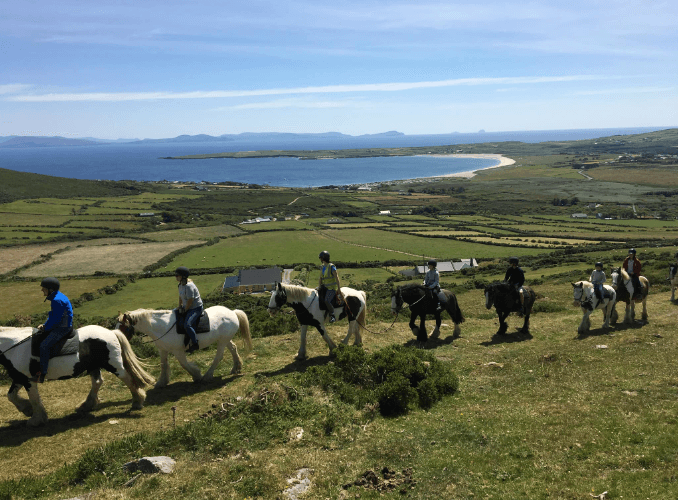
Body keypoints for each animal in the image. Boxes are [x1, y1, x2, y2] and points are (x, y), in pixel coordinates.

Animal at [0, 326, 155, 428]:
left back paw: (138, 401)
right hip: (94, 367)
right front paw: (27, 409)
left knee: (127, 378)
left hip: (113, 365)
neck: (14, 347)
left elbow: (34, 399)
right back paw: (86, 405)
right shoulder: (19, 378)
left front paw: (36, 419)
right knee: (97, 382)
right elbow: (11, 396)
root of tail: (111, 332)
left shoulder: (29, 380)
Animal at [118, 304, 254, 386]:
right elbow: (163, 365)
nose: (118, 337)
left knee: (218, 357)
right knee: (233, 348)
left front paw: (196, 375)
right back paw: (236, 367)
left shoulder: (178, 351)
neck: (163, 327)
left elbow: (184, 364)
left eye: (122, 326)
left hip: (222, 342)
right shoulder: (163, 350)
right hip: (224, 340)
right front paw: (162, 382)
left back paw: (207, 376)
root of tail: (233, 312)